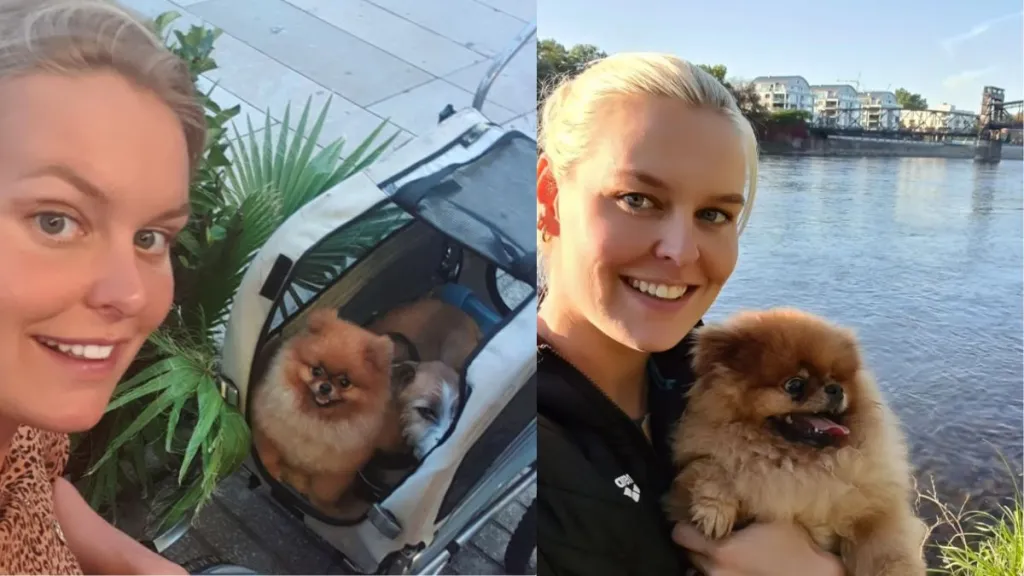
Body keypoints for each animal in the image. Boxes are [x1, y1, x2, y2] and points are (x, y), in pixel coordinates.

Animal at [249, 307, 393, 512]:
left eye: (345, 382)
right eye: (316, 371)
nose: (325, 387)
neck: (314, 419)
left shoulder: (335, 471)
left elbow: (322, 492)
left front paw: (320, 506)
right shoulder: (266, 432)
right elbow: (268, 456)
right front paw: (271, 472)